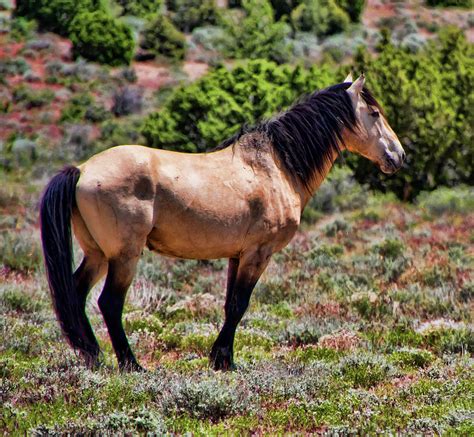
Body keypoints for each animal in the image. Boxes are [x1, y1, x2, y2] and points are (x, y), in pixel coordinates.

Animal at [39, 73, 406, 370]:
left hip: (98, 254)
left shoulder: (237, 255)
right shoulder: (258, 254)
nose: (399, 156)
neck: (276, 166)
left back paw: (92, 355)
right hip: (124, 256)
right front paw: (223, 360)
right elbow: (239, 305)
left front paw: (221, 359)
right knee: (110, 304)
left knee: (76, 293)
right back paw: (131, 365)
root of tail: (82, 169)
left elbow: (231, 304)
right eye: (375, 113)